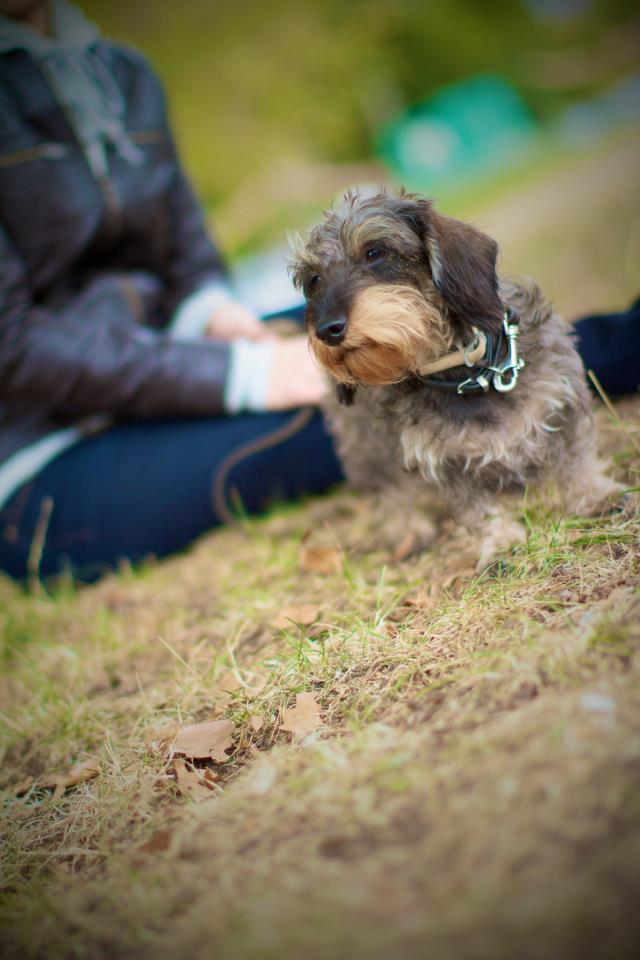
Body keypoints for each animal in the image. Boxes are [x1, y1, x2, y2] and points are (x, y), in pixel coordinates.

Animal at [288, 188, 620, 568]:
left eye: (375, 252)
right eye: (314, 280)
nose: (326, 330)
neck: (466, 374)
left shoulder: (564, 402)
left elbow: (575, 463)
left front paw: (595, 496)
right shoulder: (443, 465)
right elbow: (479, 510)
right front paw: (500, 545)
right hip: (366, 451)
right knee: (390, 493)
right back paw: (408, 531)